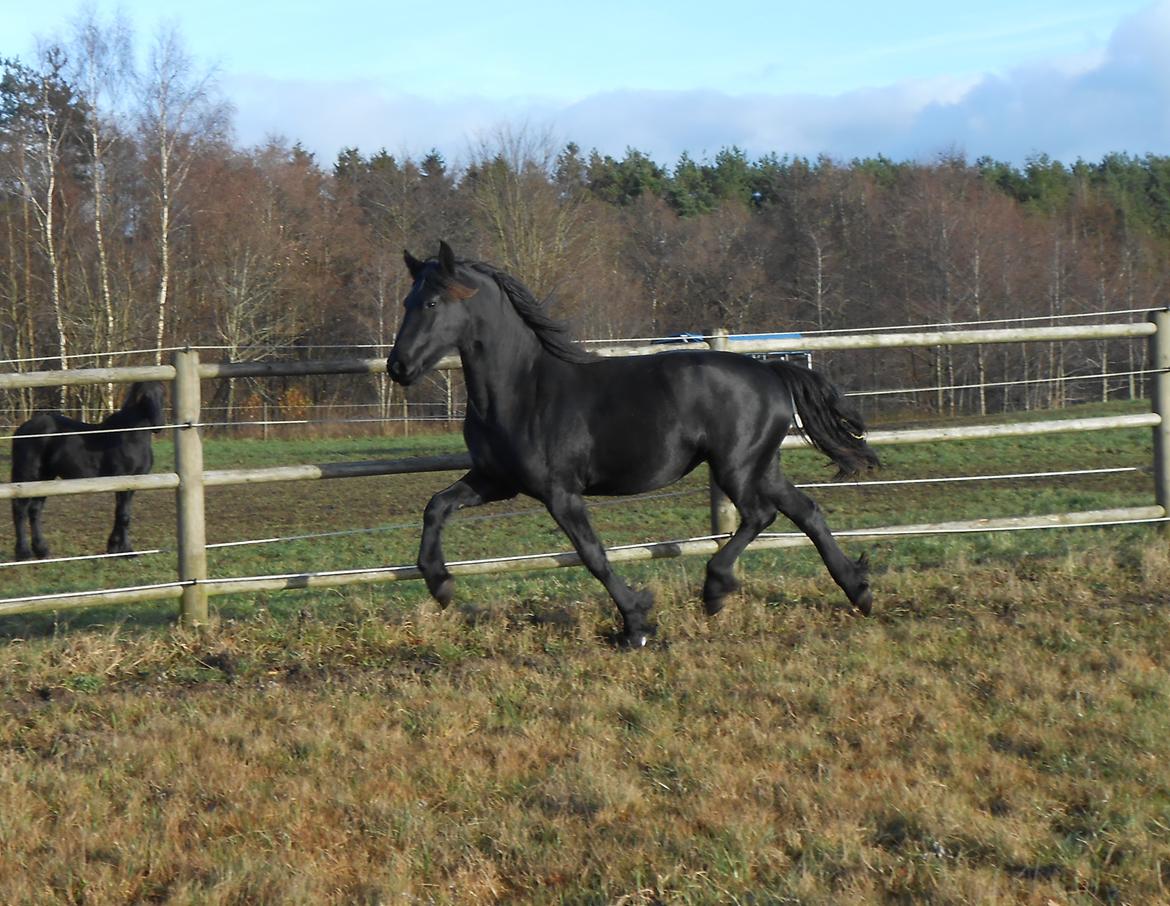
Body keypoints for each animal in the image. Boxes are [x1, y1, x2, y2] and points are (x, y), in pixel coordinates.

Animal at [10, 381, 167, 559]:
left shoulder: (134, 483)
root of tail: (21, 430)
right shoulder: (122, 480)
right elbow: (123, 515)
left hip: (45, 478)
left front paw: (115, 547)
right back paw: (24, 553)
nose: (159, 425)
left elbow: (123, 514)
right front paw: (126, 550)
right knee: (20, 509)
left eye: (162, 394)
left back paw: (42, 550)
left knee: (34, 510)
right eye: (144, 396)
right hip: (28, 475)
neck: (129, 437)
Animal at [388, 243, 879, 646]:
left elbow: (593, 555)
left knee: (762, 514)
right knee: (806, 511)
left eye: (432, 302)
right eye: (407, 302)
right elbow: (436, 506)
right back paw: (859, 591)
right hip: (762, 465)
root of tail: (770, 370)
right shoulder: (496, 480)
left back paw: (716, 590)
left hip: (736, 466)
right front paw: (440, 584)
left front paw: (637, 624)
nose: (398, 366)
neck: (523, 389)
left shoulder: (559, 492)